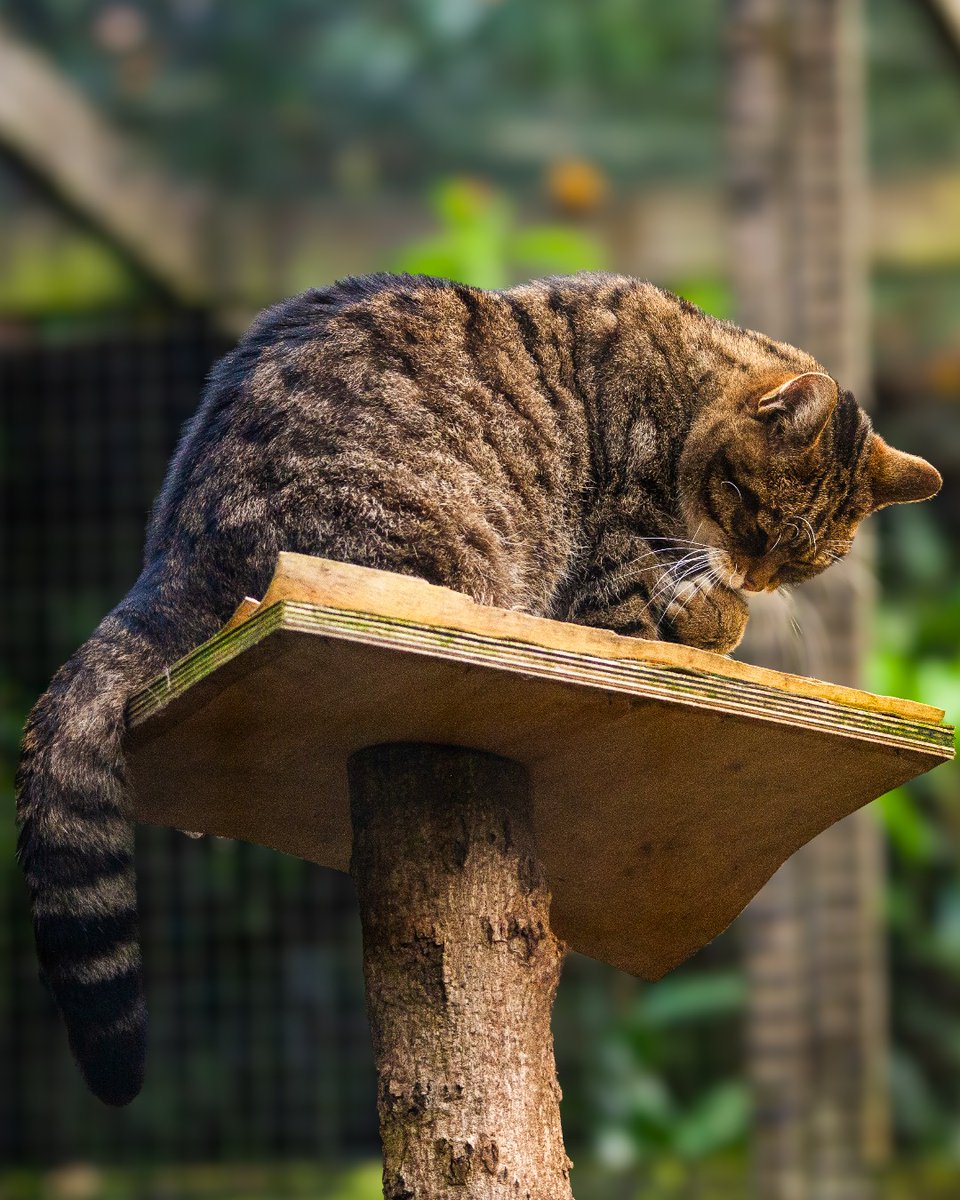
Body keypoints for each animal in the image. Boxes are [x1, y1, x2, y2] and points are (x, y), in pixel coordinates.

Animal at [16, 272, 945, 1104]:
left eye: (803, 560)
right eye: (750, 507)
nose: (754, 572)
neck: (681, 385)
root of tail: (173, 556)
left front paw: (719, 603)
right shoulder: (609, 579)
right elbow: (677, 620)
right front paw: (711, 605)